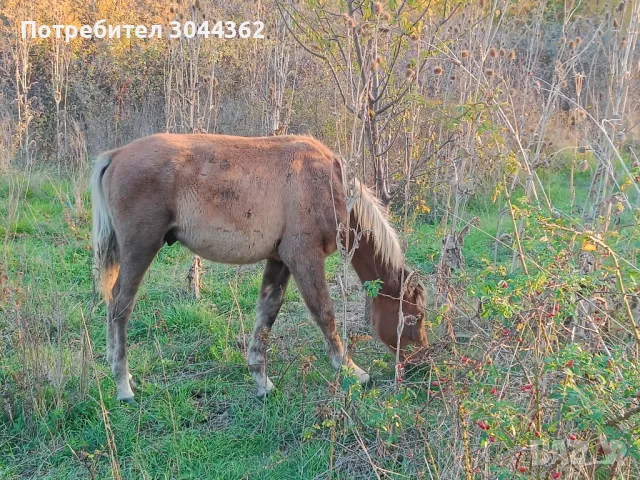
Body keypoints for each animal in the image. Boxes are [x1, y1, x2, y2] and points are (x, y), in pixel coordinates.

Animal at [90, 133, 428, 404]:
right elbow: (324, 313)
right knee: (120, 307)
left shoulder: (280, 260)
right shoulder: (304, 257)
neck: (330, 183)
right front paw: (351, 370)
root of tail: (116, 155)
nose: (421, 362)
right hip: (140, 250)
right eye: (414, 317)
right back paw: (122, 385)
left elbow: (267, 313)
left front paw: (261, 379)